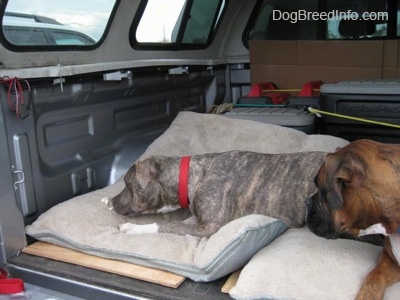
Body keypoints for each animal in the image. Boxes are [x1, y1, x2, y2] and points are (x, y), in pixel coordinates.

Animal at [111, 151, 326, 238]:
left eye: (127, 184)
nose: (112, 200)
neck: (191, 176)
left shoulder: (209, 227)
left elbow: (167, 225)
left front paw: (134, 228)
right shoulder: (197, 220)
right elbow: (177, 223)